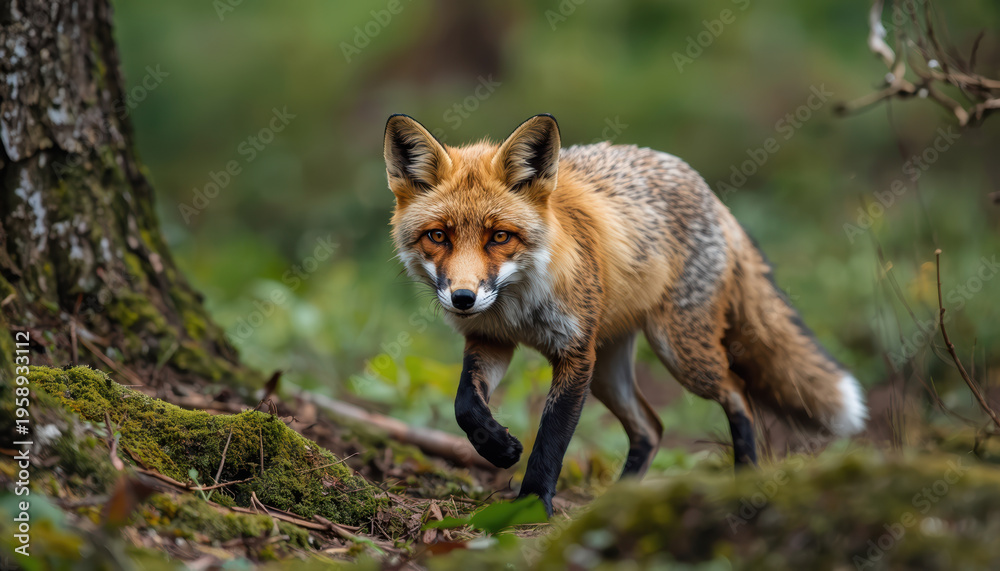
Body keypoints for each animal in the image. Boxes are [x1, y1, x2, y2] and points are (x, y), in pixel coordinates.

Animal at [383, 113, 867, 515]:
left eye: (500, 236)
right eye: (438, 236)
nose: (463, 299)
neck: (518, 306)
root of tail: (711, 195)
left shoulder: (575, 355)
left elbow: (552, 439)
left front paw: (531, 505)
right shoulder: (492, 341)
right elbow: (466, 404)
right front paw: (499, 448)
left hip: (680, 355)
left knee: (738, 392)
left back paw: (745, 475)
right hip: (609, 372)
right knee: (651, 428)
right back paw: (620, 500)